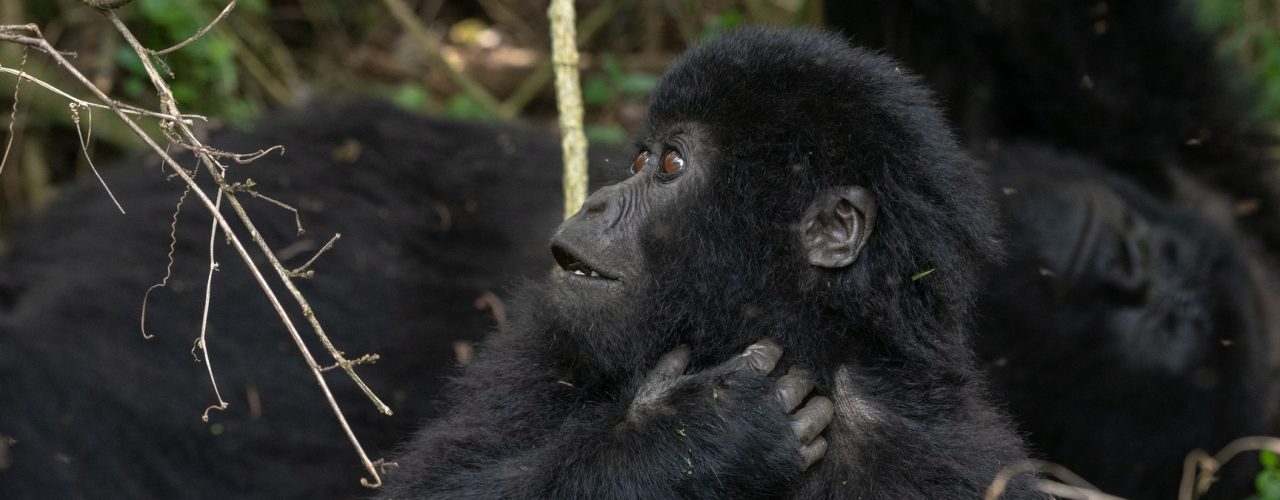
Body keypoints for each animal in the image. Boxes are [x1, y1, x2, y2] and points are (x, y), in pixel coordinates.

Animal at [381, 28, 1039, 500]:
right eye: (639, 158)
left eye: (670, 165)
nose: (595, 203)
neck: (805, 344)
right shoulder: (543, 344)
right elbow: (431, 488)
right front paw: (694, 437)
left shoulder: (946, 453)